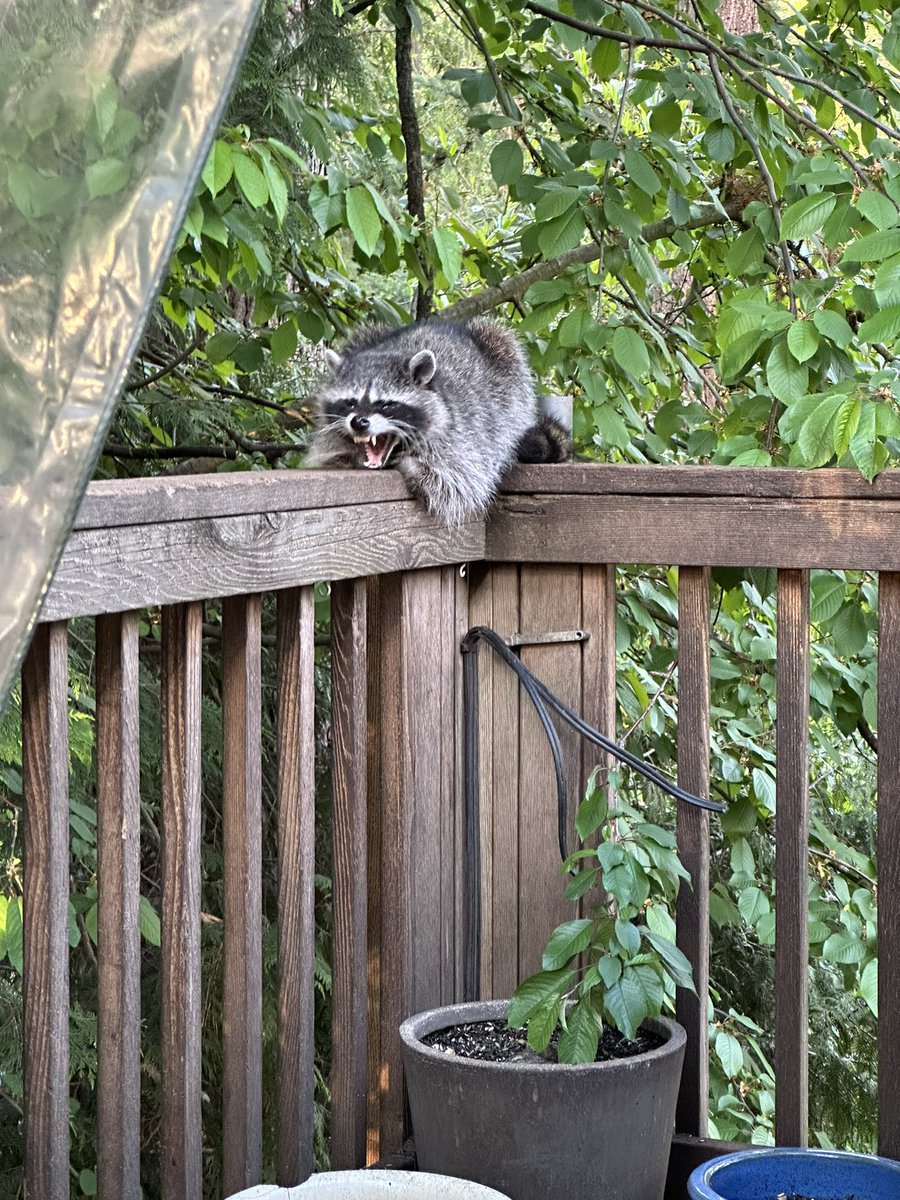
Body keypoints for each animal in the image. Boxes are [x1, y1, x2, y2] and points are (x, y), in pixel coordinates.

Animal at [305, 317, 570, 526]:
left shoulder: (465, 436)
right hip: (367, 335)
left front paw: (411, 466)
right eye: (350, 402)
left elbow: (459, 484)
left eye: (386, 405)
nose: (359, 422)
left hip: (507, 370)